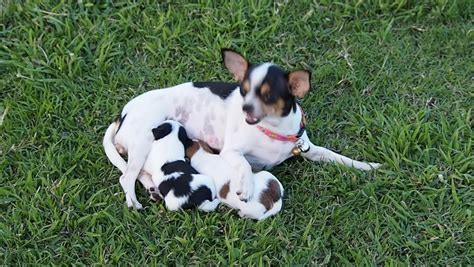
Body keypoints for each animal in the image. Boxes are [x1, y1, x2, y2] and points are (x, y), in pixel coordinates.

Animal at [103, 49, 382, 210]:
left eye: (268, 96)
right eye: (244, 90)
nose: (245, 107)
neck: (272, 131)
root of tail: (122, 115)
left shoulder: (310, 149)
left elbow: (336, 156)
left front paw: (367, 167)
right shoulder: (231, 152)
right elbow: (244, 164)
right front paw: (245, 187)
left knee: (138, 173)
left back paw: (152, 189)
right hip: (143, 142)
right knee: (126, 176)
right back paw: (134, 202)